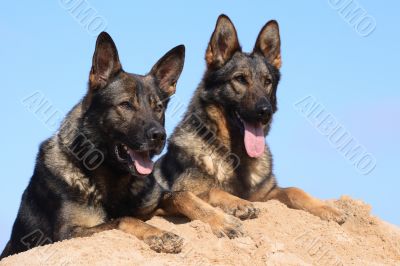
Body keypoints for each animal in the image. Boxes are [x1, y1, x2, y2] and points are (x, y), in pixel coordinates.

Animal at [1, 31, 186, 258]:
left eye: (158, 108)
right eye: (125, 104)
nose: (159, 136)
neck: (111, 177)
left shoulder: (152, 206)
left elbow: (181, 195)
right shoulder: (68, 233)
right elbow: (123, 219)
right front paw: (159, 235)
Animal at [155, 14, 346, 237]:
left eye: (267, 81)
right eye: (240, 79)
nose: (265, 111)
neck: (235, 155)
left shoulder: (267, 194)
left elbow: (294, 189)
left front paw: (326, 208)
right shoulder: (185, 190)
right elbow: (212, 190)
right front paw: (237, 203)